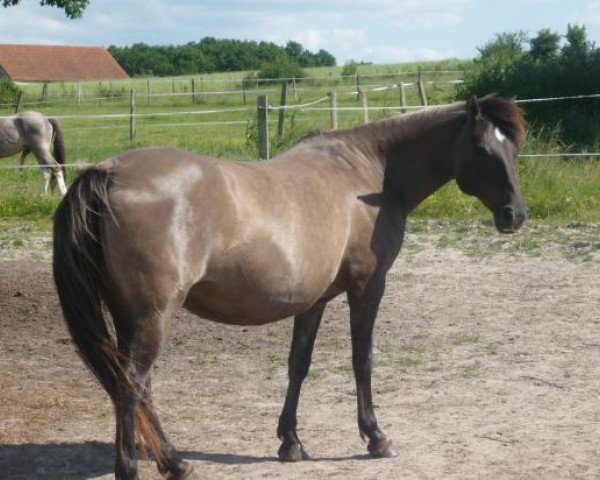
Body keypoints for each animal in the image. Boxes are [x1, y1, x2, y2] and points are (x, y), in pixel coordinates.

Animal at [54, 94, 528, 480]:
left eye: (513, 148)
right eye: (482, 148)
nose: (515, 215)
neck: (369, 174)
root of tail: (109, 171)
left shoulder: (312, 299)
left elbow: (298, 363)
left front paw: (291, 443)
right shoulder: (368, 287)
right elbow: (362, 359)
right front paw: (376, 437)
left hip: (130, 316)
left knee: (139, 387)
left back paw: (175, 462)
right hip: (155, 315)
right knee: (129, 386)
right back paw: (138, 468)